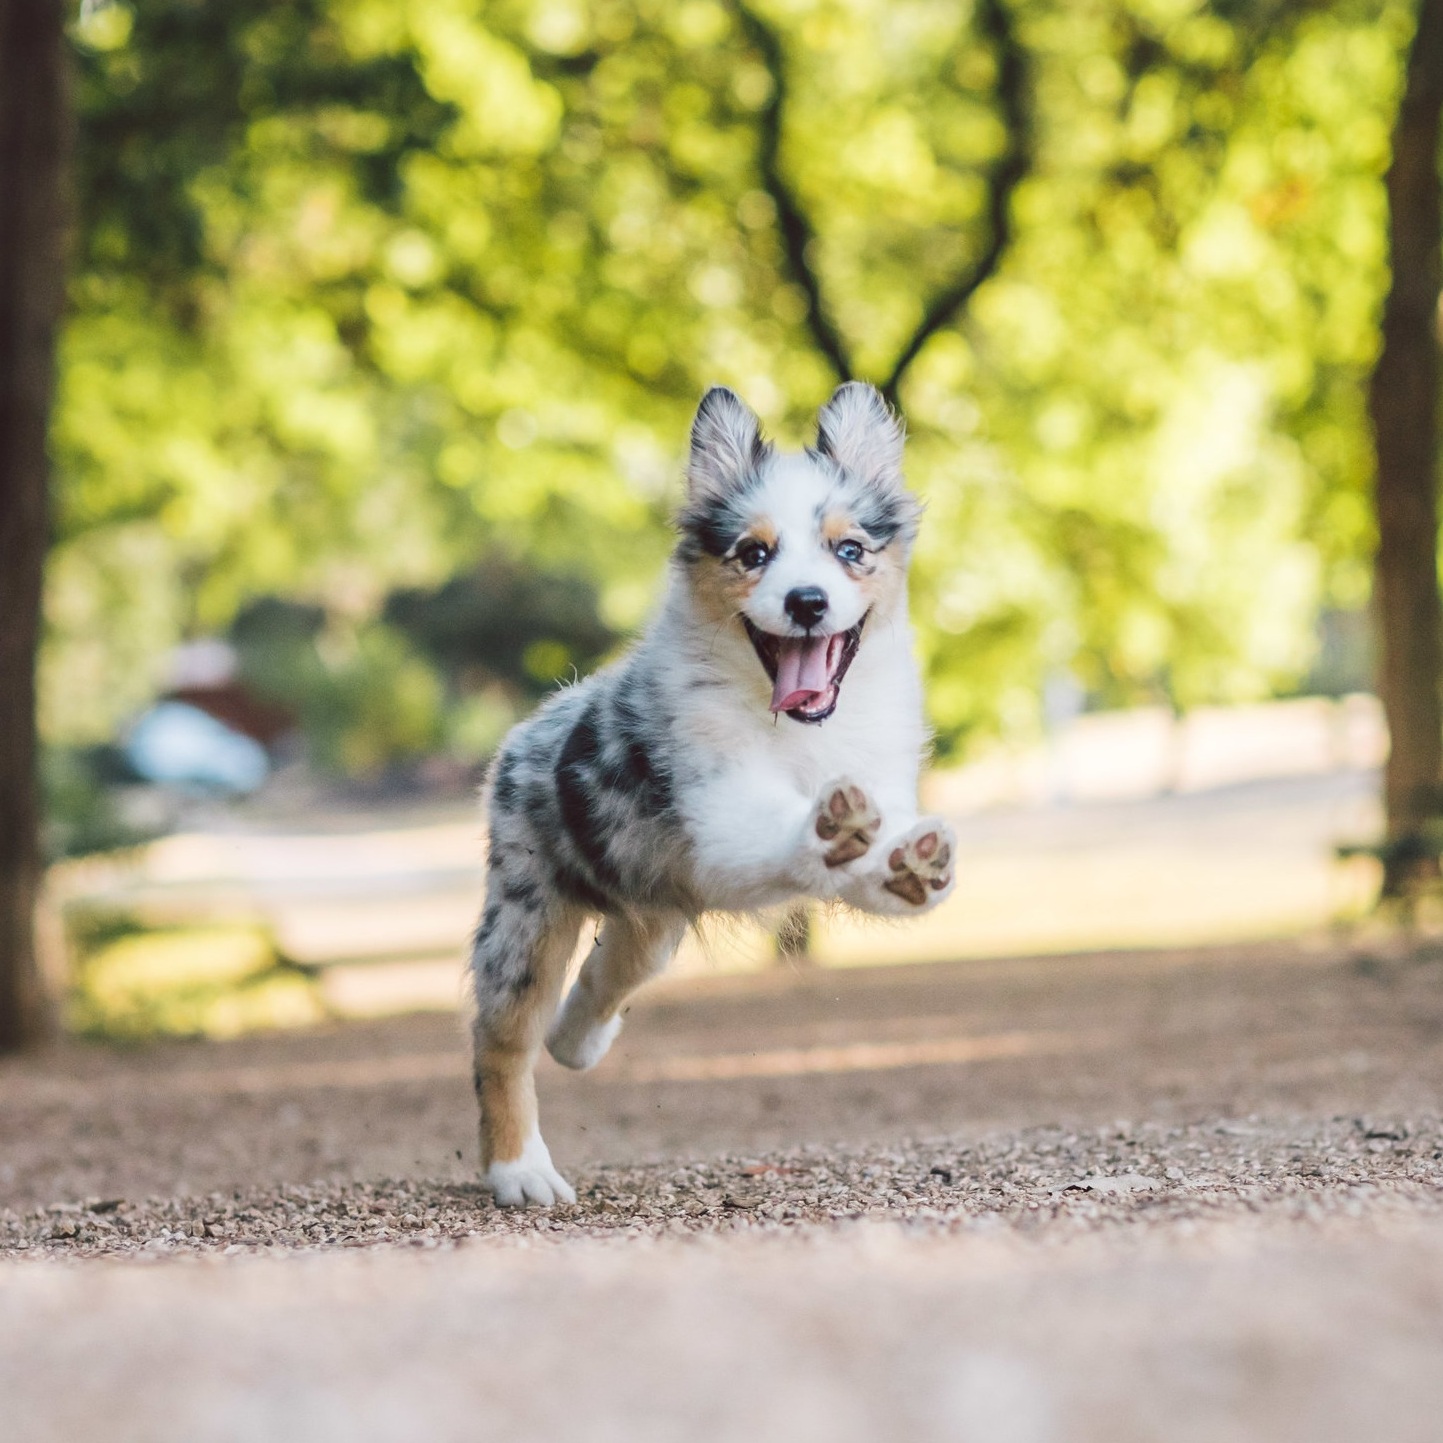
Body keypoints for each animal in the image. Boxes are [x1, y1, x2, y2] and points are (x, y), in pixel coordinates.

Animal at [473, 380, 958, 1206]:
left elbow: (879, 862)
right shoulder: (717, 806)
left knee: (607, 973)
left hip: (653, 913)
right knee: (501, 1038)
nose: (805, 601)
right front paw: (826, 828)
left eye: (849, 549)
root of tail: (526, 731)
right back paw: (520, 1170)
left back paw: (577, 1040)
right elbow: (781, 827)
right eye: (752, 553)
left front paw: (908, 862)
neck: (795, 727)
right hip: (526, 912)